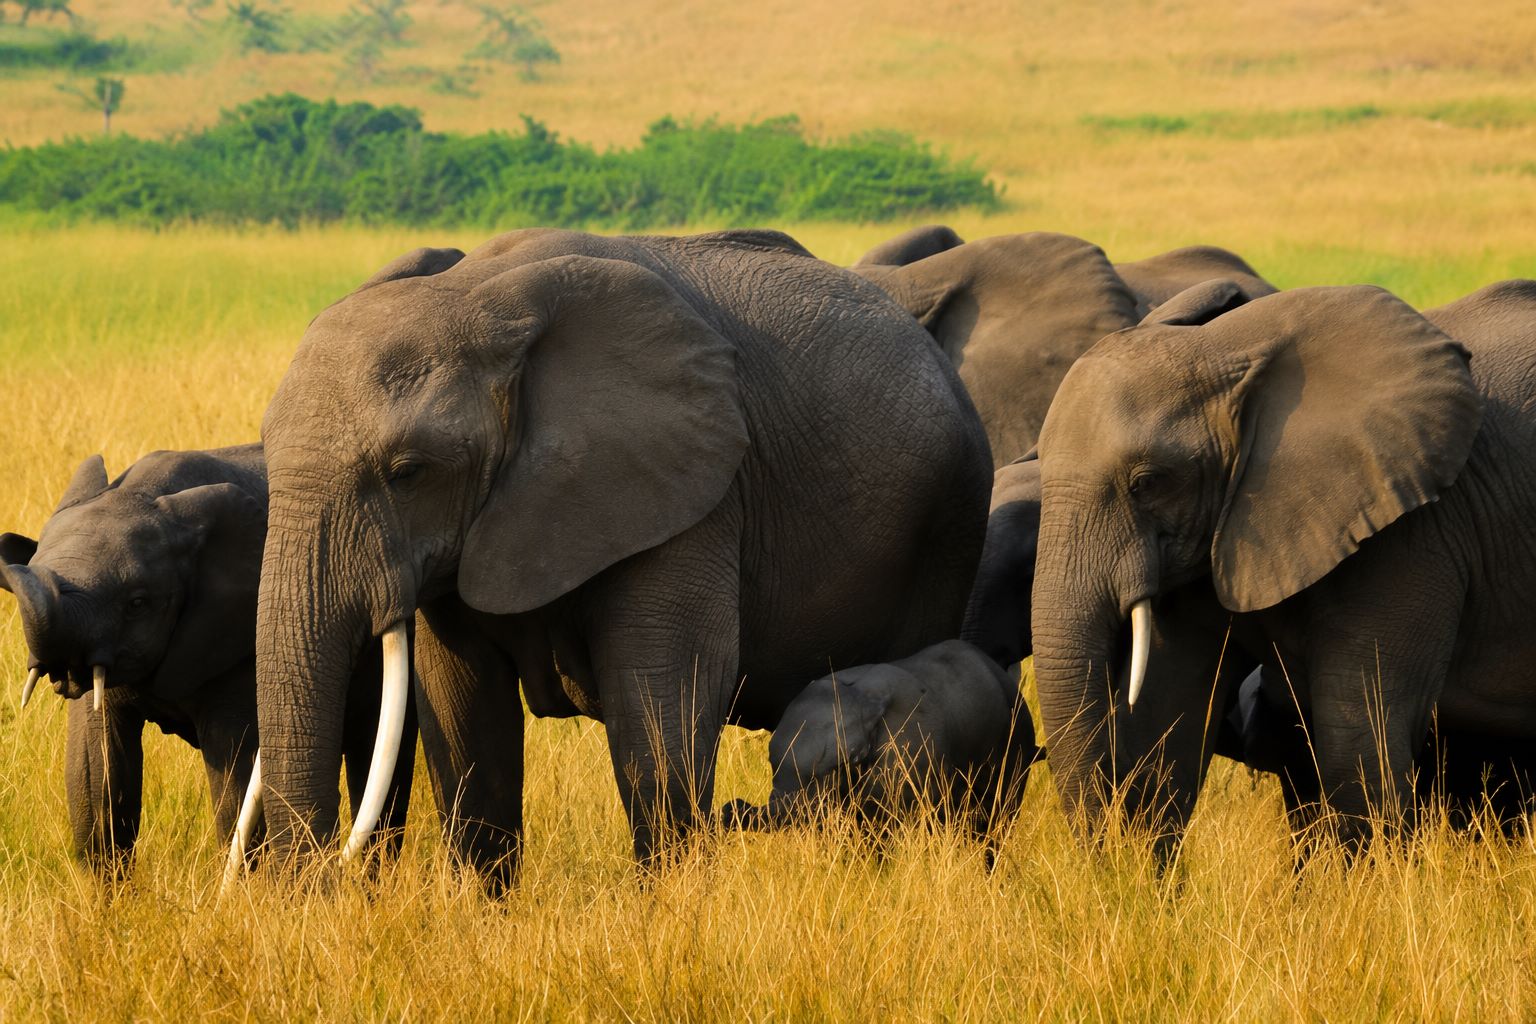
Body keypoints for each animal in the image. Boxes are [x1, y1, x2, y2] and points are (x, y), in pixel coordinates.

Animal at [249, 227, 991, 886]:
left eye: (408, 473)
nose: (315, 886)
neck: (482, 296)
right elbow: (462, 709)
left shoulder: (690, 488)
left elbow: (662, 694)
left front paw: (672, 913)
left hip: (948, 522)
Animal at [1030, 276, 1536, 852]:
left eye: (1147, 482)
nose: (1104, 850)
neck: (1225, 352)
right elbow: (1166, 715)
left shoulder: (1414, 529)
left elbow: (1361, 730)